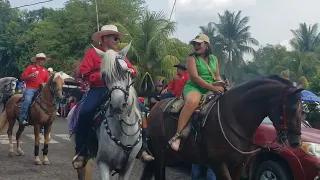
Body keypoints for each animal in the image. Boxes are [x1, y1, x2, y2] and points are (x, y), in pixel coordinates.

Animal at [141, 75, 304, 180]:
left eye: (303, 111)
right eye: (293, 108)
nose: (296, 142)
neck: (236, 120)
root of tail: (155, 107)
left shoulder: (239, 165)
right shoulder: (219, 164)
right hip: (160, 152)